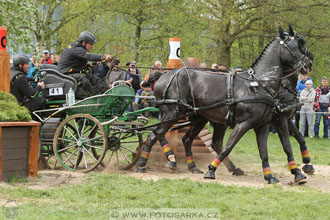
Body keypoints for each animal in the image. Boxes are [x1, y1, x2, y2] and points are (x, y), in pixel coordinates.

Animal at [138, 26, 310, 184]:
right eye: (295, 46)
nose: (309, 63)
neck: (260, 83)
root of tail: (163, 74)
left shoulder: (263, 125)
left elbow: (267, 150)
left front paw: (272, 175)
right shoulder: (248, 123)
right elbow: (230, 146)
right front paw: (211, 169)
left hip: (198, 118)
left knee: (185, 139)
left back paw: (192, 166)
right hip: (172, 113)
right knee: (155, 134)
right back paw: (145, 164)